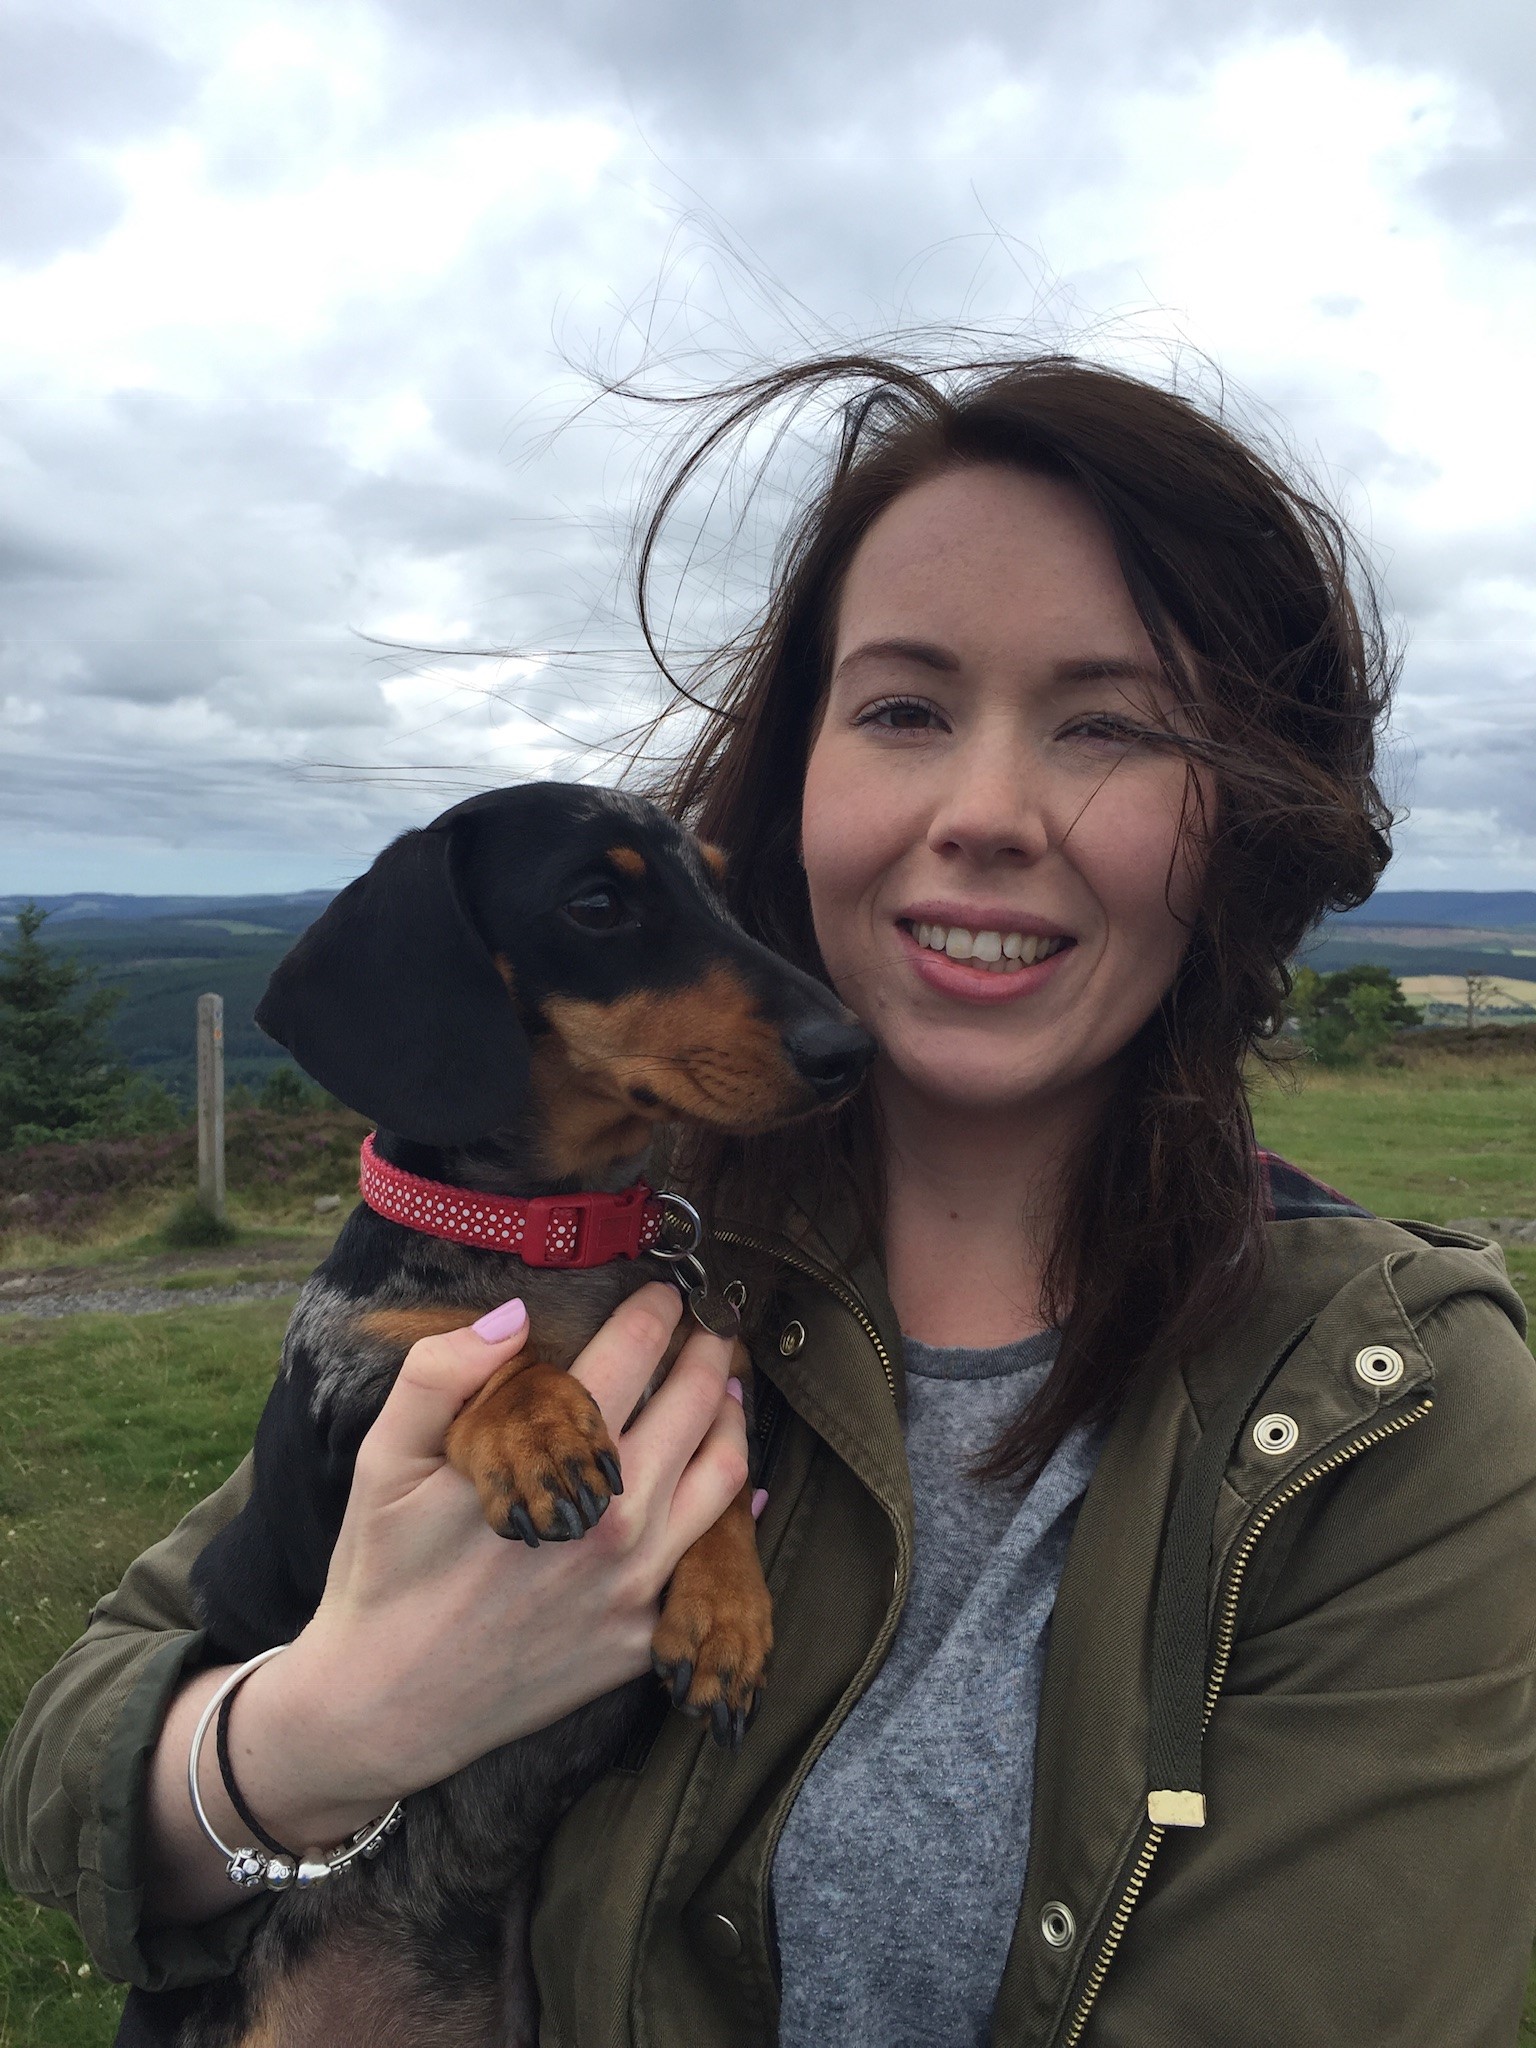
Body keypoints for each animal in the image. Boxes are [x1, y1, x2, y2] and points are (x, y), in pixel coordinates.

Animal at [153, 782, 876, 2048]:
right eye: (595, 903)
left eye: (718, 884)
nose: (850, 1048)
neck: (557, 1236)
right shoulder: (350, 1390)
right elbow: (467, 1350)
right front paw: (538, 1422)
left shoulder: (710, 1371)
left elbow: (722, 1474)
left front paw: (726, 1612)